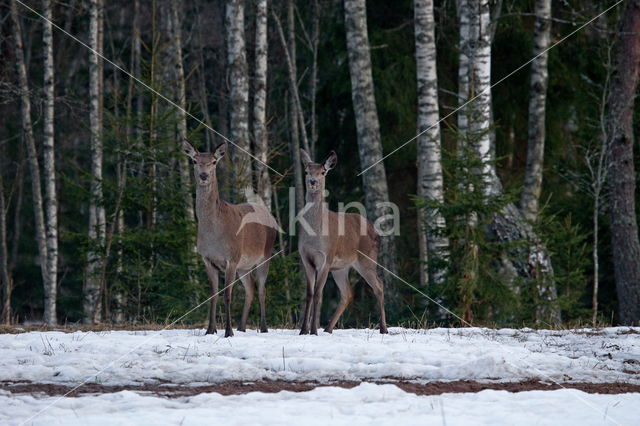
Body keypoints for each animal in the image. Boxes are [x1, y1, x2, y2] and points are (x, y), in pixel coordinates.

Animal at [182, 141, 278, 338]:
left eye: (214, 162)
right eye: (194, 160)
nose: (204, 175)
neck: (213, 234)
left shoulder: (231, 258)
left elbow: (227, 295)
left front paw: (228, 331)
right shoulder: (207, 259)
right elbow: (213, 295)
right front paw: (210, 330)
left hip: (265, 255)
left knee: (262, 290)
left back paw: (263, 328)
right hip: (244, 265)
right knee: (251, 289)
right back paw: (241, 327)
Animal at [298, 150, 388, 336]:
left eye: (323, 172)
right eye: (306, 171)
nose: (312, 182)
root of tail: (375, 230)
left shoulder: (326, 258)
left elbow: (318, 294)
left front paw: (313, 331)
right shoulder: (305, 259)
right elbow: (309, 294)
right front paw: (303, 330)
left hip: (367, 259)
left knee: (379, 286)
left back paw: (384, 328)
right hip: (341, 267)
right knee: (347, 293)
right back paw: (328, 329)